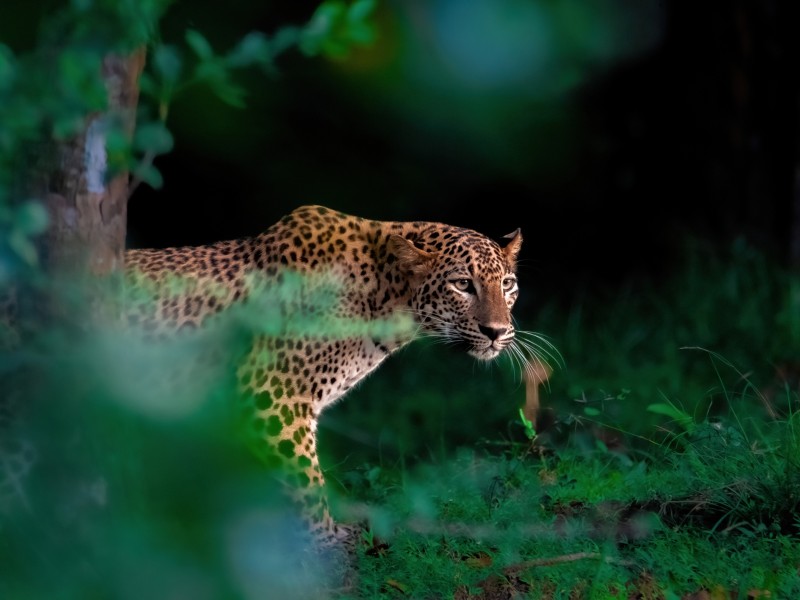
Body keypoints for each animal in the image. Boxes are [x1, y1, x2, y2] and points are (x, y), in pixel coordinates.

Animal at [123, 204, 553, 551]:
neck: (386, 299)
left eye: (507, 284)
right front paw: (325, 539)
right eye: (462, 284)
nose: (497, 331)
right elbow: (306, 479)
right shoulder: (273, 395)